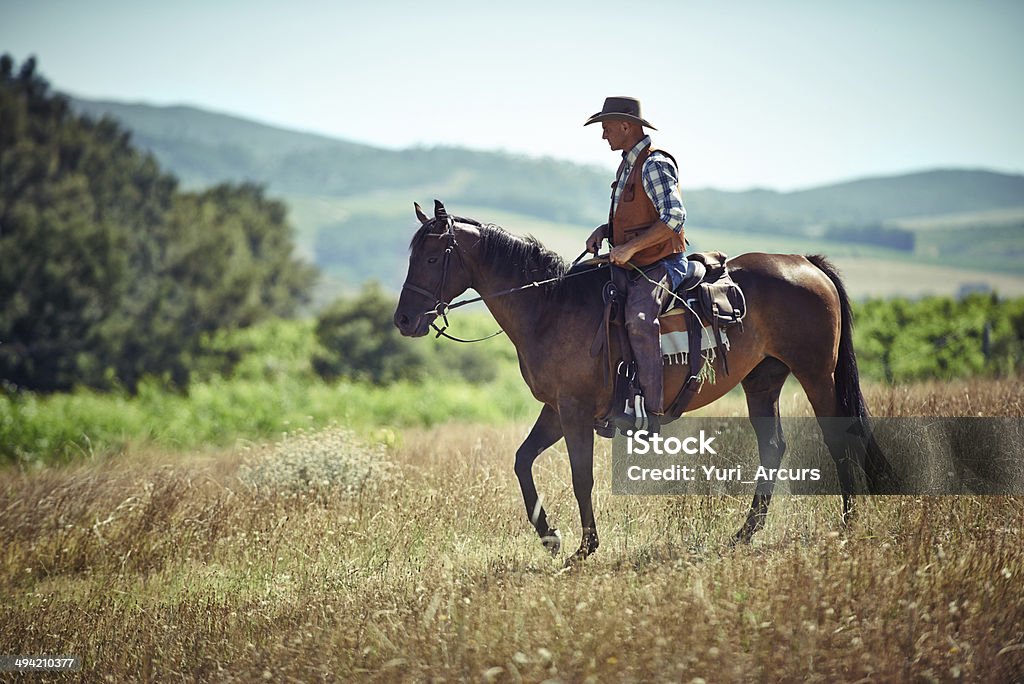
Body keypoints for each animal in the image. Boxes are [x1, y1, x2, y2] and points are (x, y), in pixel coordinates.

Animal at [391, 200, 888, 565]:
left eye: (432, 256)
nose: (403, 320)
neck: (550, 307)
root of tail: (805, 262)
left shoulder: (573, 412)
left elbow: (581, 477)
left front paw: (584, 548)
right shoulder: (556, 409)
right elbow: (522, 461)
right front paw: (550, 537)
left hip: (815, 374)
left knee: (838, 438)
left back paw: (848, 523)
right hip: (762, 383)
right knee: (773, 447)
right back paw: (744, 534)